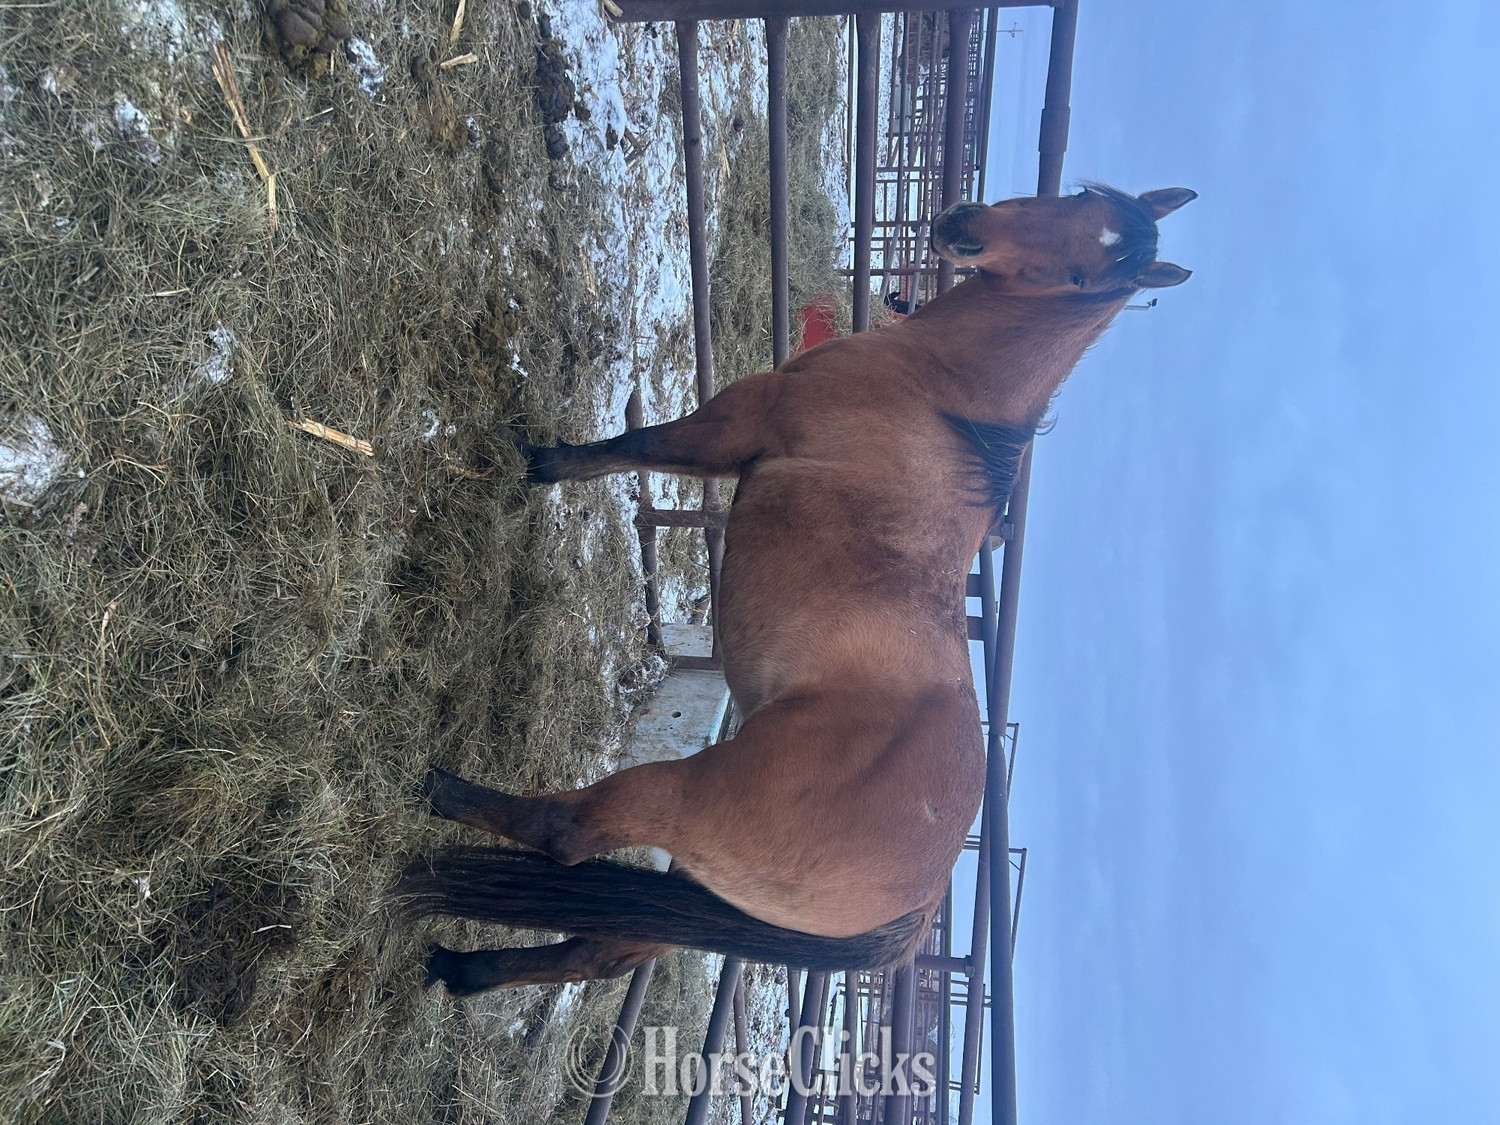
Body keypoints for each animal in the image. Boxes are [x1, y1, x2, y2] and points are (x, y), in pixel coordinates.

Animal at [399, 184, 1196, 995]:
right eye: (1081, 196)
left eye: (1080, 277)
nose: (963, 228)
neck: (937, 391)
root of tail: (912, 910)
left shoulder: (739, 419)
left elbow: (637, 446)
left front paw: (542, 461)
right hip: (706, 888)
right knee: (597, 951)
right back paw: (461, 969)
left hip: (686, 804)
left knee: (566, 833)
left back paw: (435, 790)